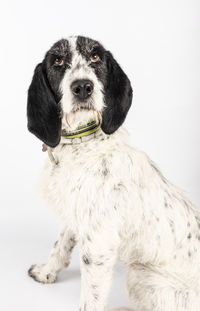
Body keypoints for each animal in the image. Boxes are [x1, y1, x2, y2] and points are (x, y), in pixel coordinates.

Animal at [26, 35, 200, 310]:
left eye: (95, 57)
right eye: (58, 60)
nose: (83, 87)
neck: (82, 144)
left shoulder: (98, 246)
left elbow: (91, 299)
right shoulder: (74, 214)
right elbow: (60, 245)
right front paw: (47, 272)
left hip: (142, 276)